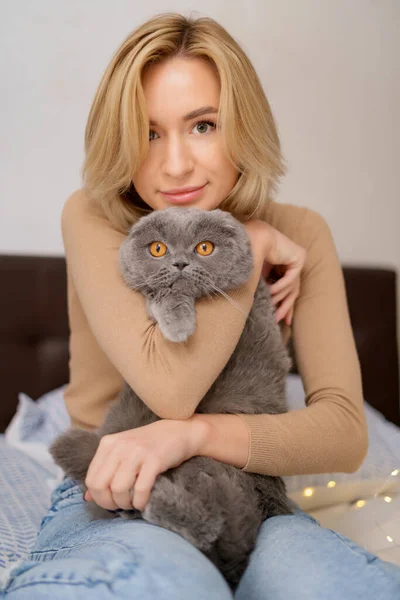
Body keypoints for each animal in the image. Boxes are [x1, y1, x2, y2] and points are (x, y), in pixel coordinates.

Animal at [49, 207, 294, 592]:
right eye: (158, 249)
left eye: (205, 247)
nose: (179, 263)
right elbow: (159, 293)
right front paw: (178, 322)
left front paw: (178, 324)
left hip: (209, 467)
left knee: (210, 523)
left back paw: (155, 500)